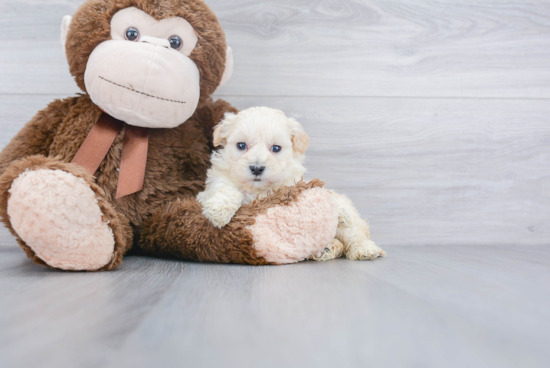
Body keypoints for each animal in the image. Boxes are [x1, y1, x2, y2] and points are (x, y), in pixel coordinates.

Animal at [198, 106, 388, 262]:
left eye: (276, 148)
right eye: (241, 145)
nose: (257, 168)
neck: (258, 189)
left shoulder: (292, 185)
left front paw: (339, 213)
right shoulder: (213, 185)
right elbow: (227, 190)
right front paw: (219, 210)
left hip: (351, 226)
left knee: (354, 236)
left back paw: (363, 249)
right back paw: (326, 249)